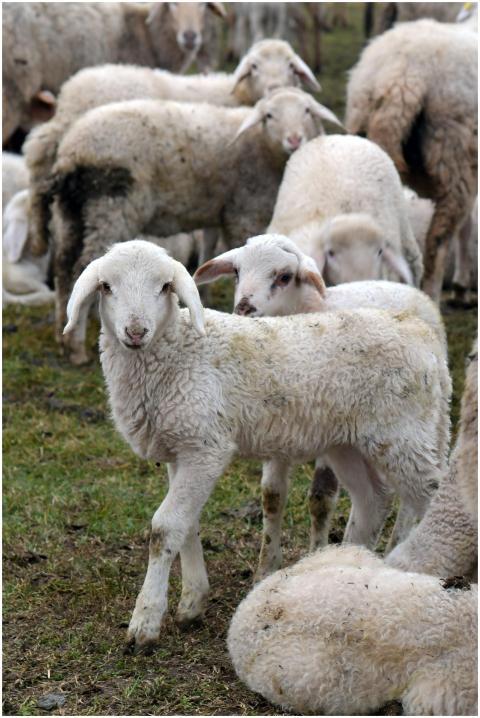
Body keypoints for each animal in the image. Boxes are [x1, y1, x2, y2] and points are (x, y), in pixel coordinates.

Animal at [23, 39, 320, 258]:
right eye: (254, 66)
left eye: (291, 66)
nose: (275, 87)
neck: (237, 96)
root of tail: (70, 94)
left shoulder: (216, 191)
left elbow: (210, 236)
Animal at [49, 88, 341, 364]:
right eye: (269, 115)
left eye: (307, 111)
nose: (294, 140)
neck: (261, 147)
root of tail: (71, 152)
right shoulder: (243, 210)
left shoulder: (217, 213)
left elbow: (209, 252)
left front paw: (204, 296)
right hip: (109, 207)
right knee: (80, 268)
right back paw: (76, 346)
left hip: (72, 213)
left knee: (63, 268)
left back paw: (63, 332)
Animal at [194, 234, 449, 574]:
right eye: (236, 272)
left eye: (284, 277)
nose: (244, 310)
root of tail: (408, 289)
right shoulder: (277, 424)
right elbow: (272, 496)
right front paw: (266, 568)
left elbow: (321, 497)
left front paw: (318, 553)